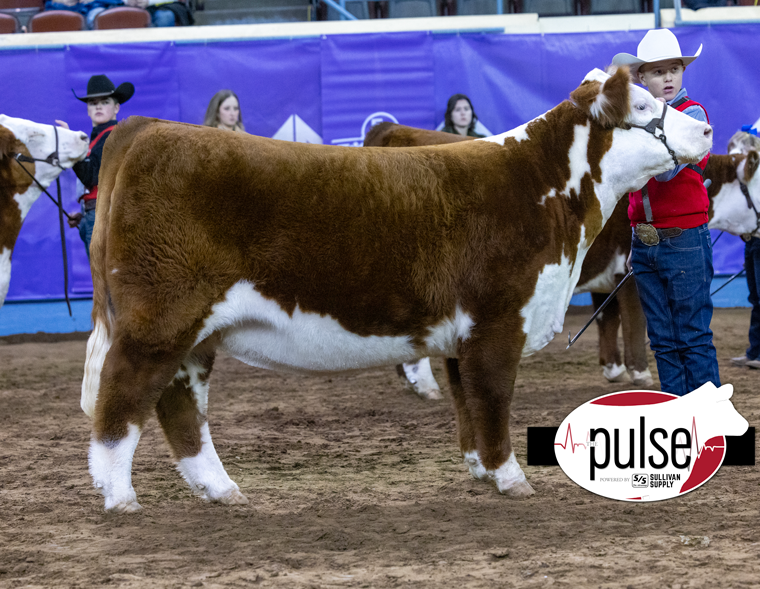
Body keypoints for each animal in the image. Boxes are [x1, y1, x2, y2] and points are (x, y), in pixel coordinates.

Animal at [80, 68, 708, 510]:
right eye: (644, 107)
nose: (704, 128)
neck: (545, 190)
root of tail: (146, 129)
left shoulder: (460, 332)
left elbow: (466, 400)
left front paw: (480, 469)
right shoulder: (499, 319)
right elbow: (493, 398)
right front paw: (510, 478)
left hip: (192, 334)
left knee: (179, 405)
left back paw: (219, 488)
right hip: (159, 320)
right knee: (122, 396)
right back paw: (120, 496)